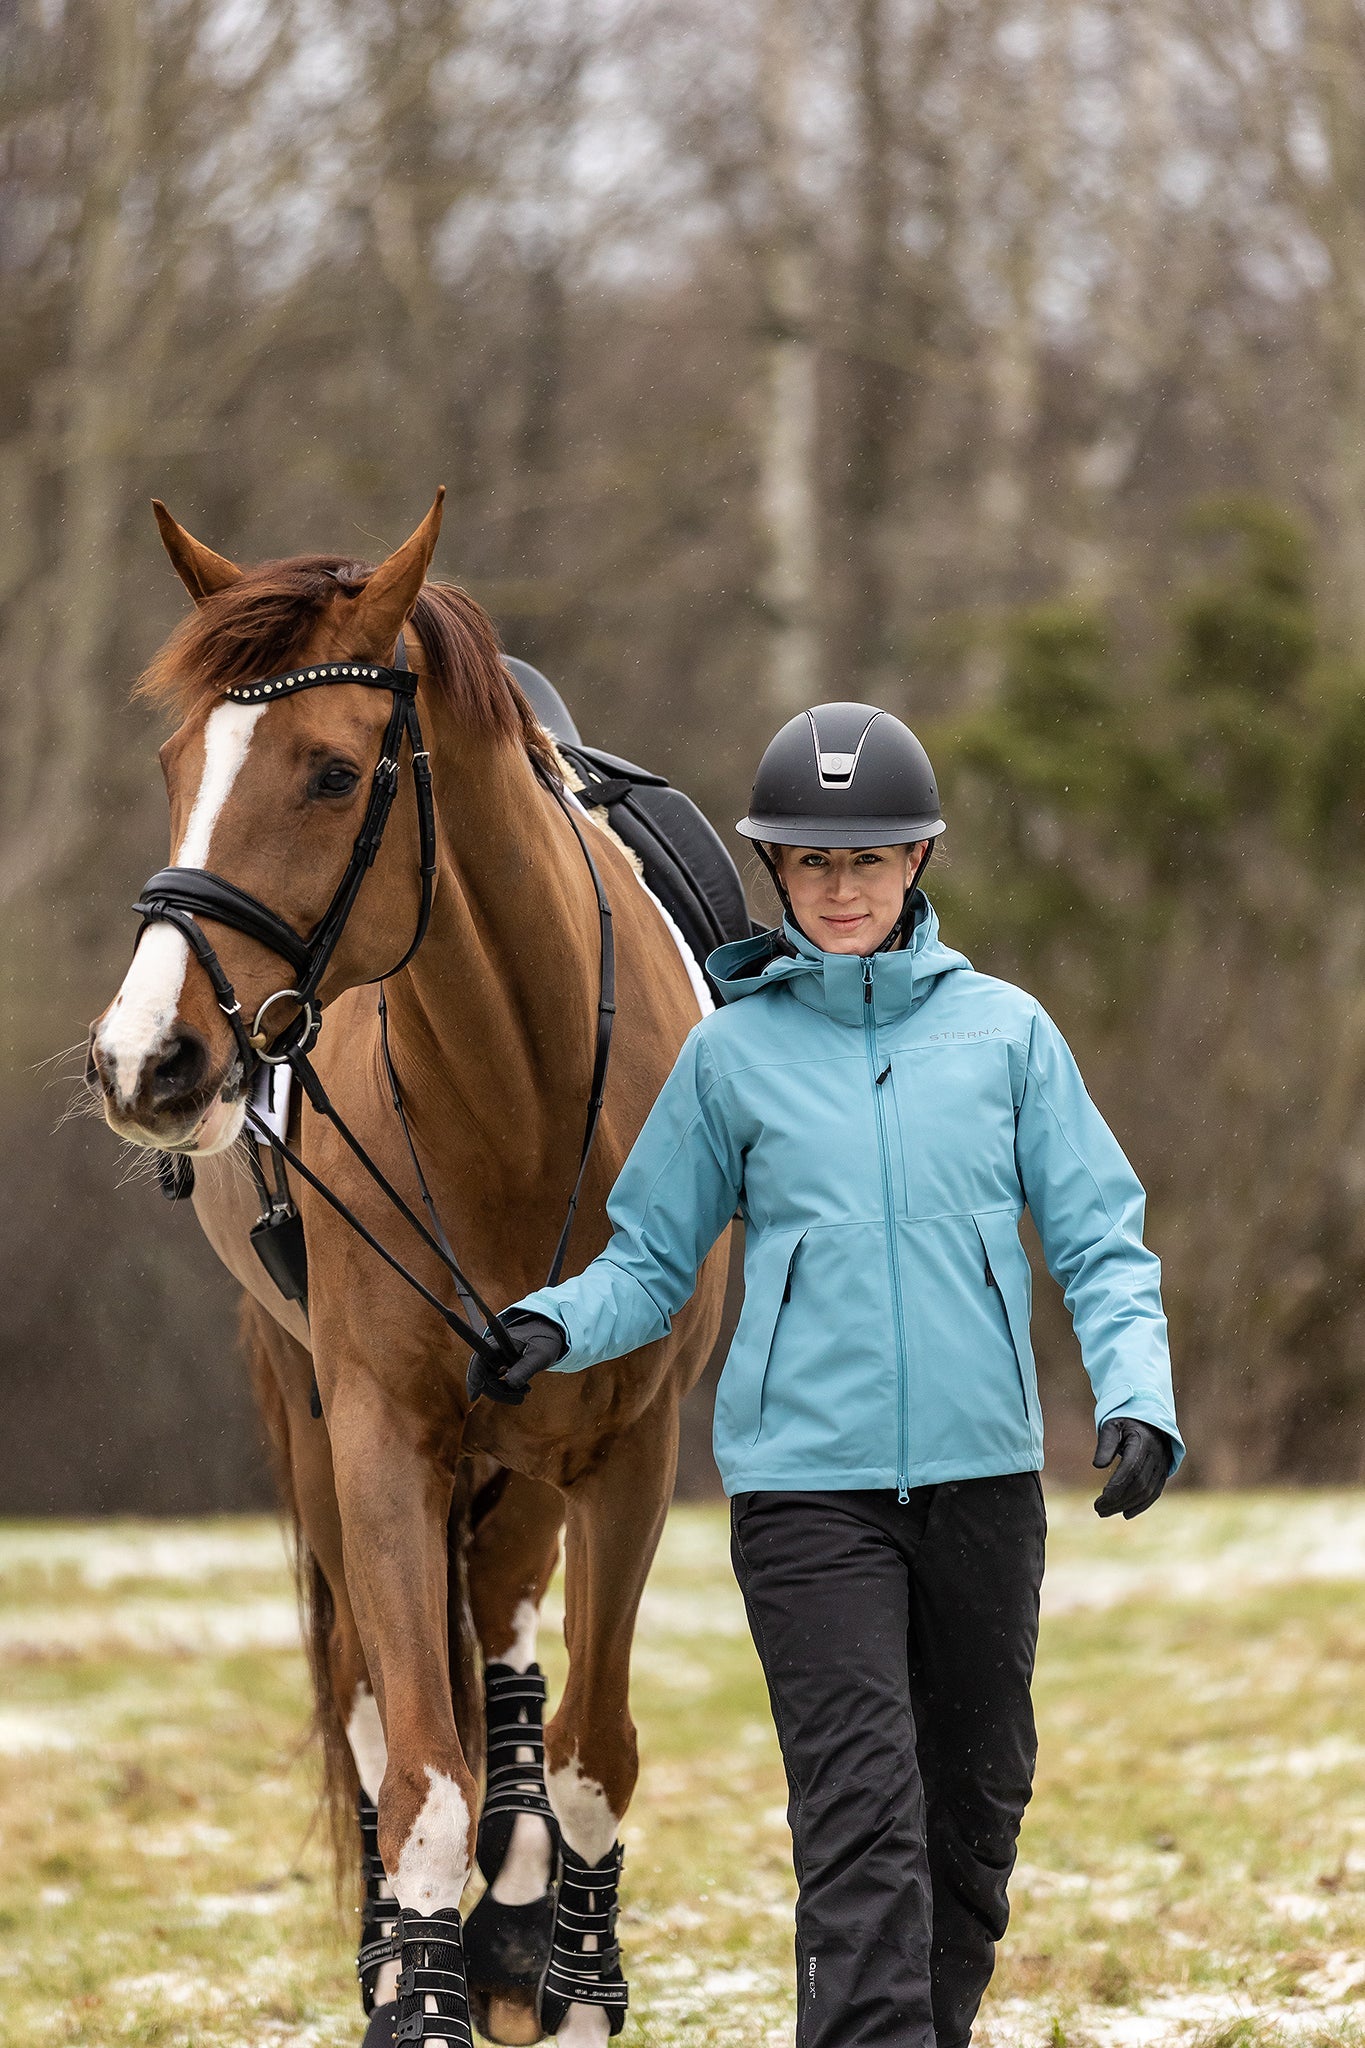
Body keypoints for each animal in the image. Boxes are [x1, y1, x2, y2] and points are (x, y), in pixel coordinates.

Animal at [86, 499, 732, 2048]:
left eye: (330, 774)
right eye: (175, 767)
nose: (144, 1058)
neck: (526, 1090)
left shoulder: (630, 1450)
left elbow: (593, 1759)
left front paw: (569, 1980)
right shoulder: (378, 1428)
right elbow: (420, 1772)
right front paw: (417, 1993)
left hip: (531, 1454)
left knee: (501, 1635)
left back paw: (518, 1919)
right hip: (323, 1417)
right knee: (387, 1702)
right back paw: (418, 1947)